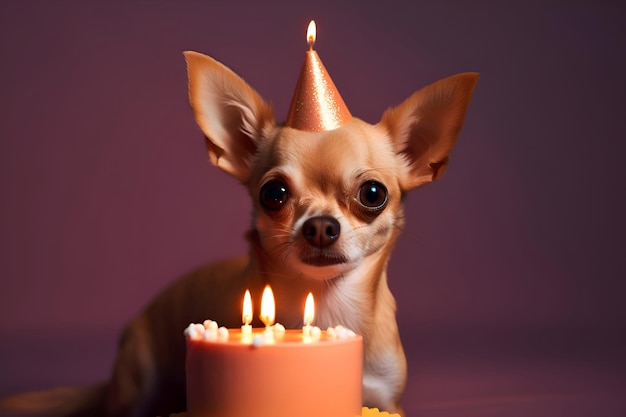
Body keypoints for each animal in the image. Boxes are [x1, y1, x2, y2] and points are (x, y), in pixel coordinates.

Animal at [0, 52, 476, 416]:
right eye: (274, 193)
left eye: (373, 193)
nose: (321, 225)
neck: (324, 304)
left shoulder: (385, 399)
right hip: (138, 382)